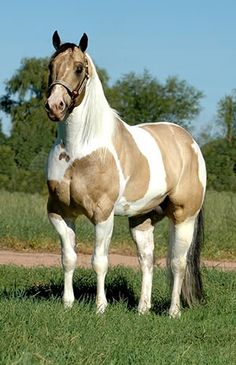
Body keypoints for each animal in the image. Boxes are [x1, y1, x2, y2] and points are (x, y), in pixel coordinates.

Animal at [44, 30, 206, 316]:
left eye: (79, 68)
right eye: (51, 66)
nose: (55, 106)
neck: (80, 150)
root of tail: (189, 143)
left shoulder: (102, 215)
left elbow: (99, 261)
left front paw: (100, 307)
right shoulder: (60, 212)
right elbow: (68, 258)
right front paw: (67, 303)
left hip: (184, 216)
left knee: (178, 262)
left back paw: (173, 311)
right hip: (142, 220)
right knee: (147, 260)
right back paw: (142, 308)